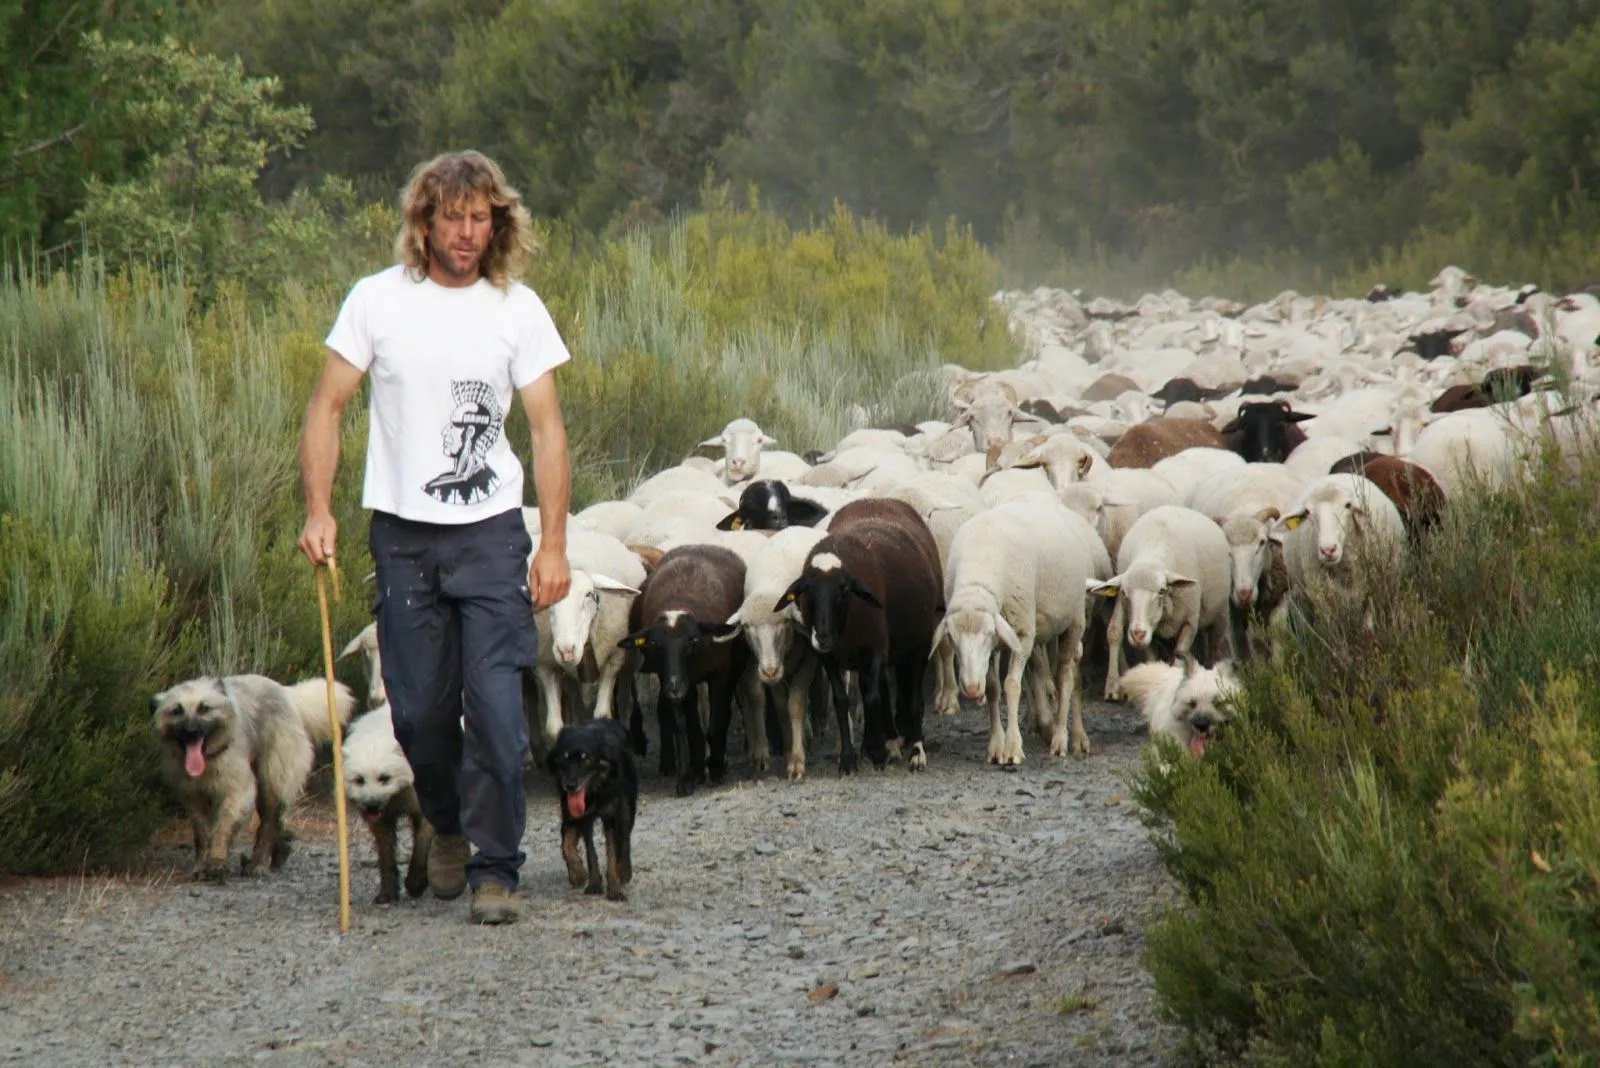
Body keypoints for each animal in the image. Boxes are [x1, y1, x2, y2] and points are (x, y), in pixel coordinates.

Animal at [151, 671, 355, 882]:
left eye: (204, 708)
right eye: (176, 710)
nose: (191, 732)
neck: (208, 759)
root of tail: (287, 693)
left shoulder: (238, 791)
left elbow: (222, 827)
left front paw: (217, 861)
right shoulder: (193, 798)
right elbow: (202, 835)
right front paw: (200, 866)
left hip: (271, 783)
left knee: (269, 822)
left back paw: (258, 863)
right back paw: (280, 850)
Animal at [544, 716, 636, 901]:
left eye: (586, 759)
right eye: (565, 758)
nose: (570, 786)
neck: (594, 791)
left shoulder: (612, 816)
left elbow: (613, 851)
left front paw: (614, 887)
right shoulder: (575, 817)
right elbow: (573, 847)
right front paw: (580, 875)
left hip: (628, 806)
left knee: (625, 838)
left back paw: (625, 871)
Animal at [934, 495, 1107, 764]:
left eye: (987, 633)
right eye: (952, 638)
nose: (971, 690)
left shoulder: (1022, 633)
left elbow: (1012, 686)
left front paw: (1013, 747)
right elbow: (993, 688)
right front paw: (996, 745)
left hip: (1075, 620)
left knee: (1066, 677)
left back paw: (1063, 738)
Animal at [1094, 508, 1228, 703]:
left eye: (1162, 590)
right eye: (1124, 593)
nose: (1137, 634)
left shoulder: (1190, 623)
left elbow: (1180, 655)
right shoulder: (1150, 631)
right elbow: (1150, 658)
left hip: (1221, 612)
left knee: (1216, 644)